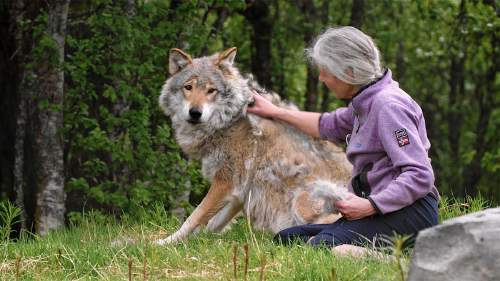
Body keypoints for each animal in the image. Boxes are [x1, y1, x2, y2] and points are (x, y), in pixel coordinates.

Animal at [156, 47, 352, 244]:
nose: (195, 113)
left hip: (306, 198)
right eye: (188, 87)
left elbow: (195, 215)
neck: (229, 121)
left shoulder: (225, 182)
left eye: (211, 90)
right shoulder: (240, 192)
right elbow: (211, 224)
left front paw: (165, 242)